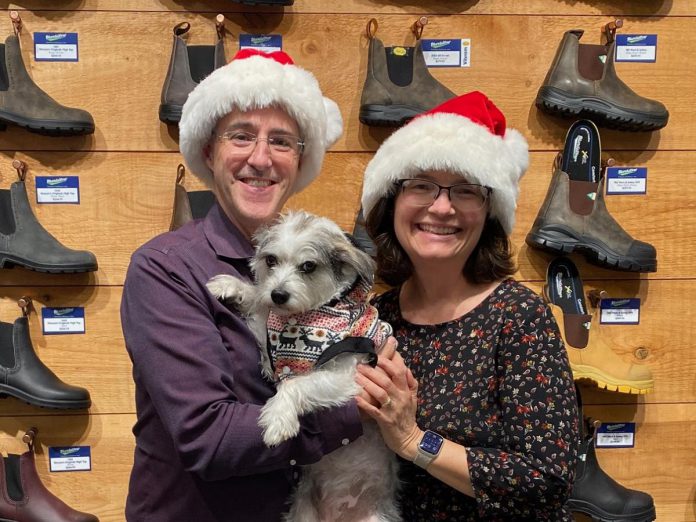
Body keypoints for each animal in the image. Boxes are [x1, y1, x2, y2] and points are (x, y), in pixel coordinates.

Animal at [207, 210, 400, 520]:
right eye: (271, 260)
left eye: (308, 266)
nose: (278, 294)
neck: (307, 315)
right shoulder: (271, 350)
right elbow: (260, 309)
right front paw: (233, 287)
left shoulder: (349, 374)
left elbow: (296, 383)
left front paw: (277, 418)